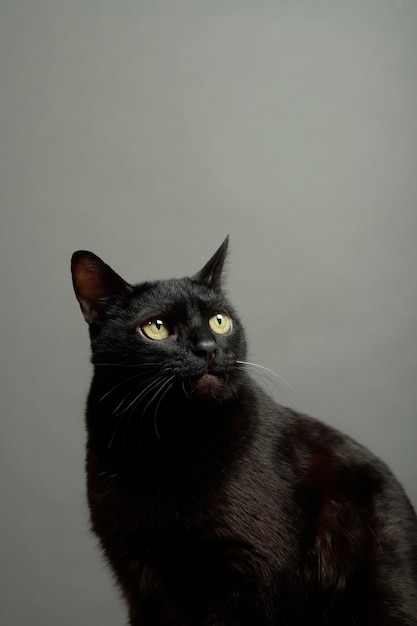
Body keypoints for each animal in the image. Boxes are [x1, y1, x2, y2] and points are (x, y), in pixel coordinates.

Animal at [71, 236, 416, 620]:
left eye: (219, 321)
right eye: (156, 327)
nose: (207, 347)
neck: (160, 442)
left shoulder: (254, 572)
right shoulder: (137, 578)